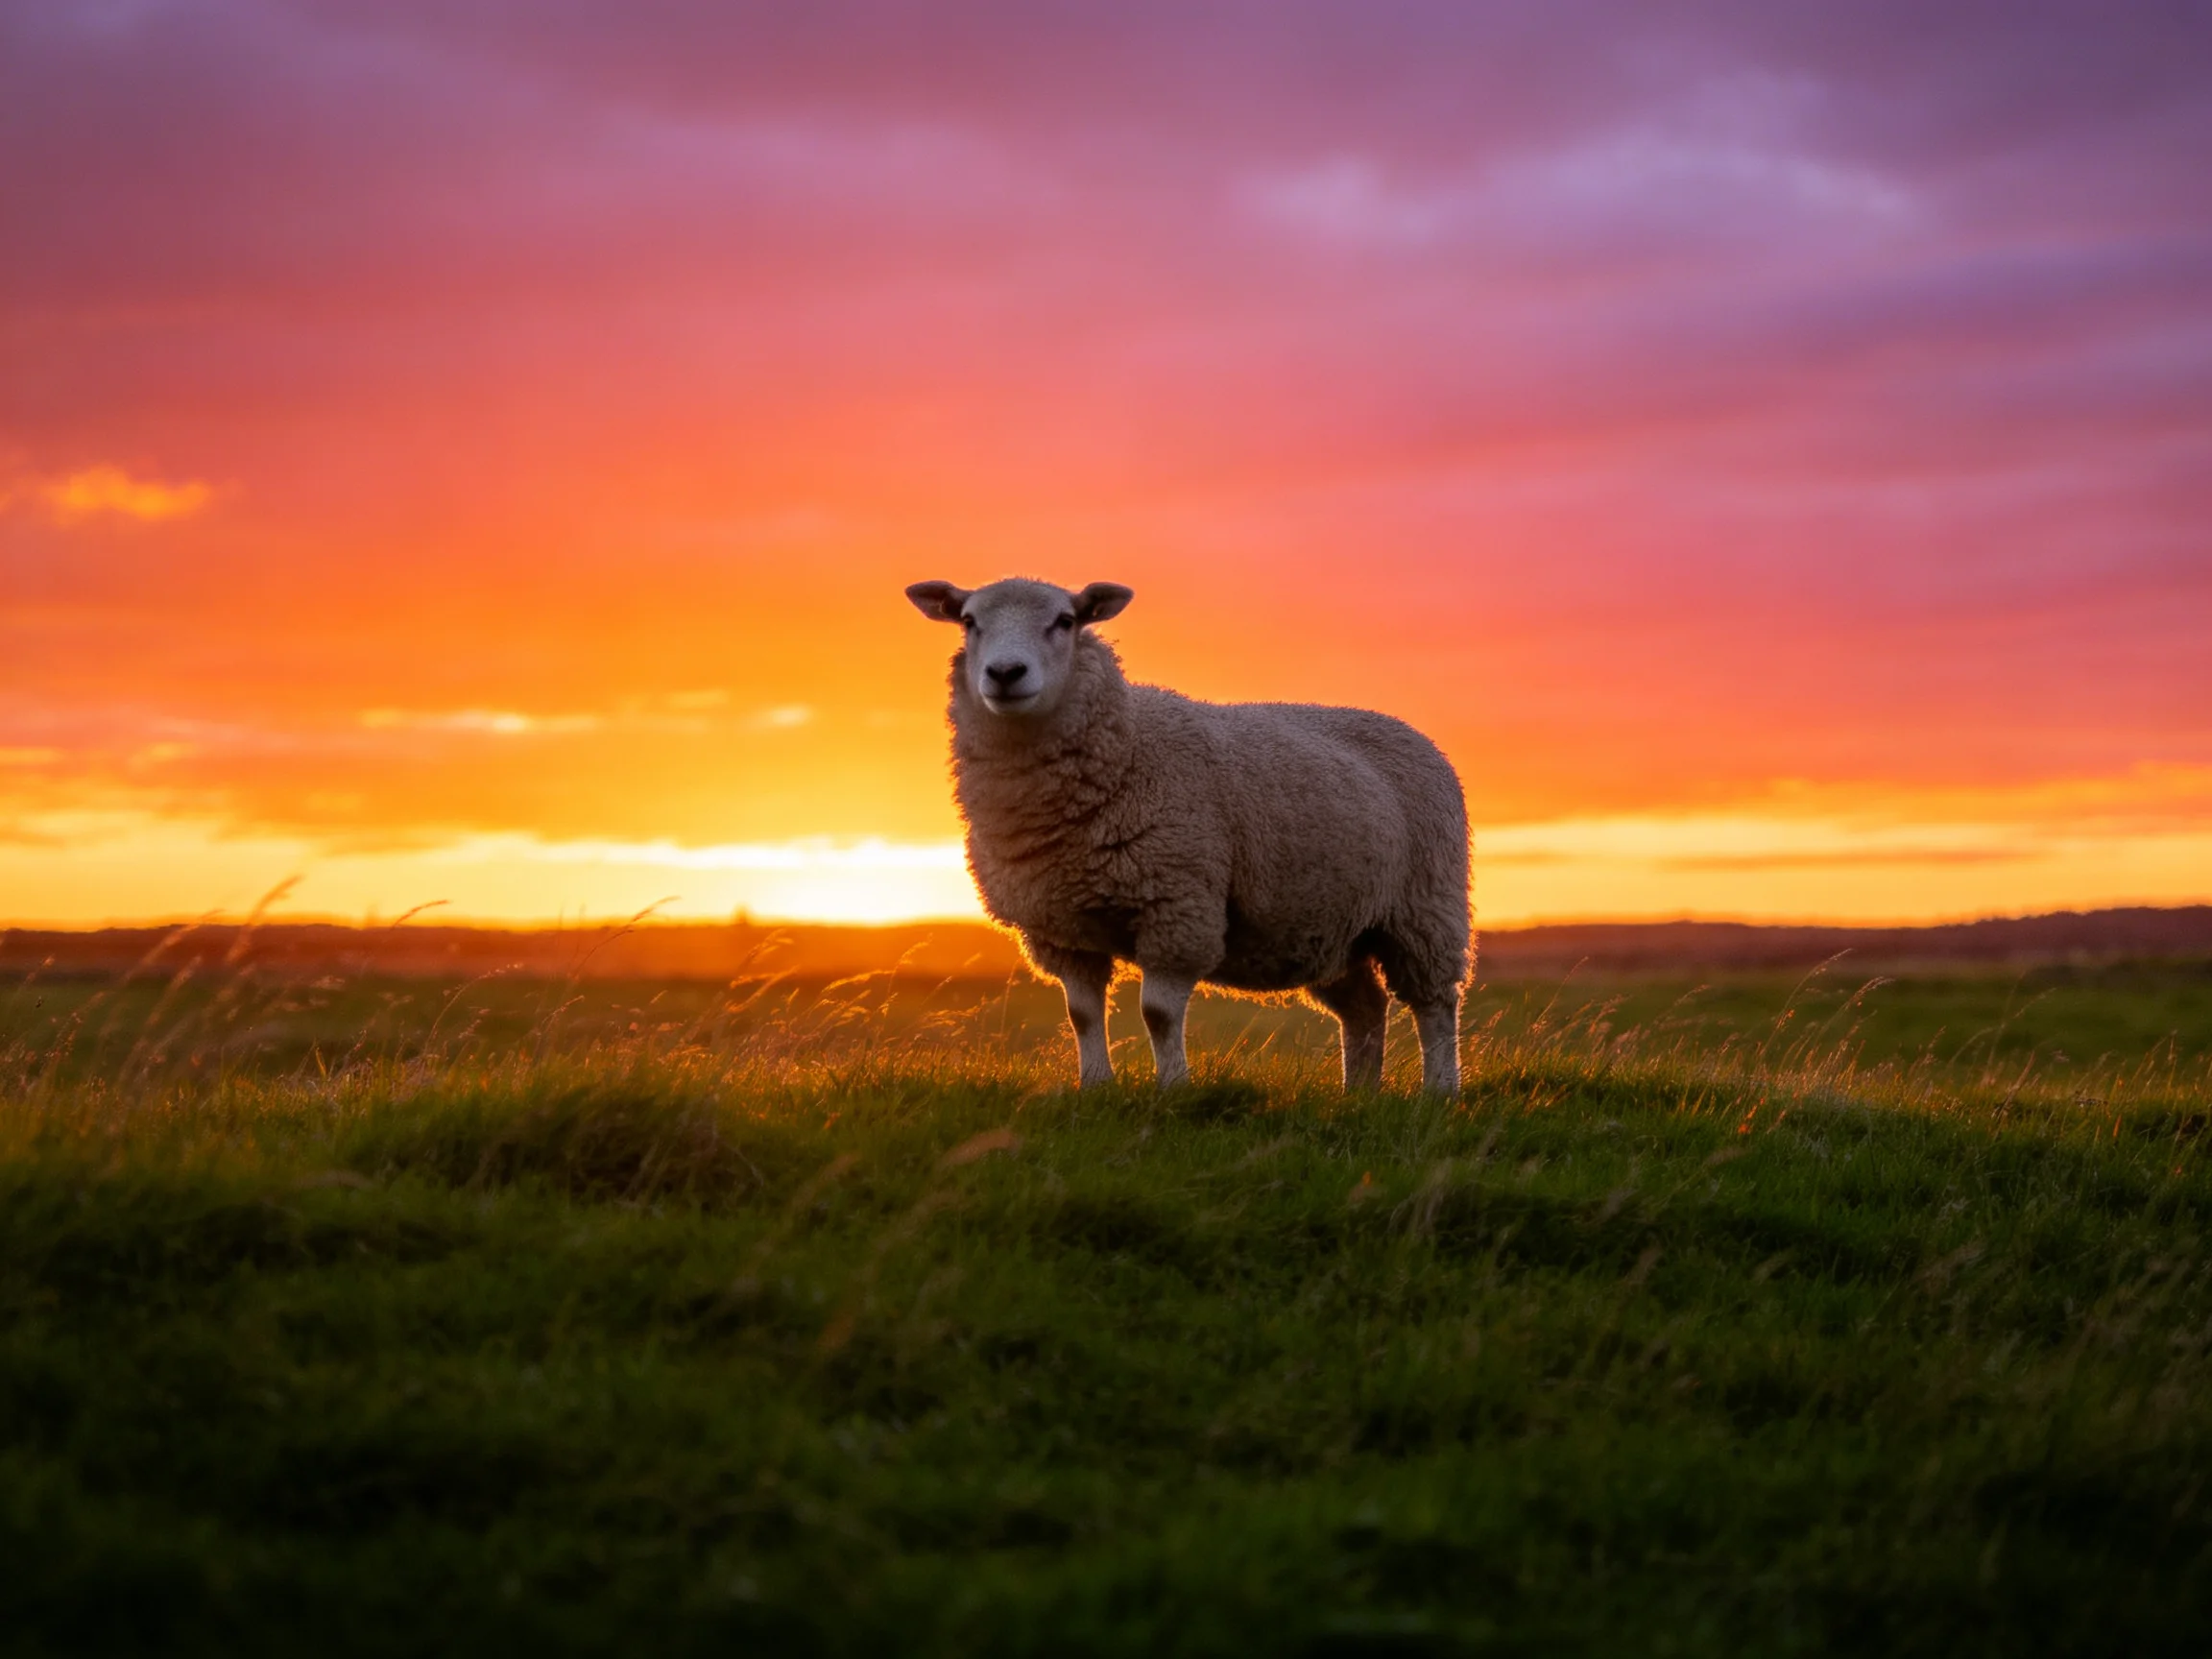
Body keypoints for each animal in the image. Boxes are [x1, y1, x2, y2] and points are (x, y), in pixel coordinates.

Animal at [905, 575, 1471, 1095]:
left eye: (1065, 621)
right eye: (969, 621)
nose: (1005, 673)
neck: (1126, 748)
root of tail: (1412, 733)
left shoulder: (1176, 905)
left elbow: (1157, 1013)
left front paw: (1174, 1088)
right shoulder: (1061, 928)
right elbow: (1081, 1014)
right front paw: (1096, 1087)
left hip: (1424, 909)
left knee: (1436, 1005)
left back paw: (1439, 1091)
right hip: (1332, 927)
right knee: (1364, 1009)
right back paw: (1358, 1095)